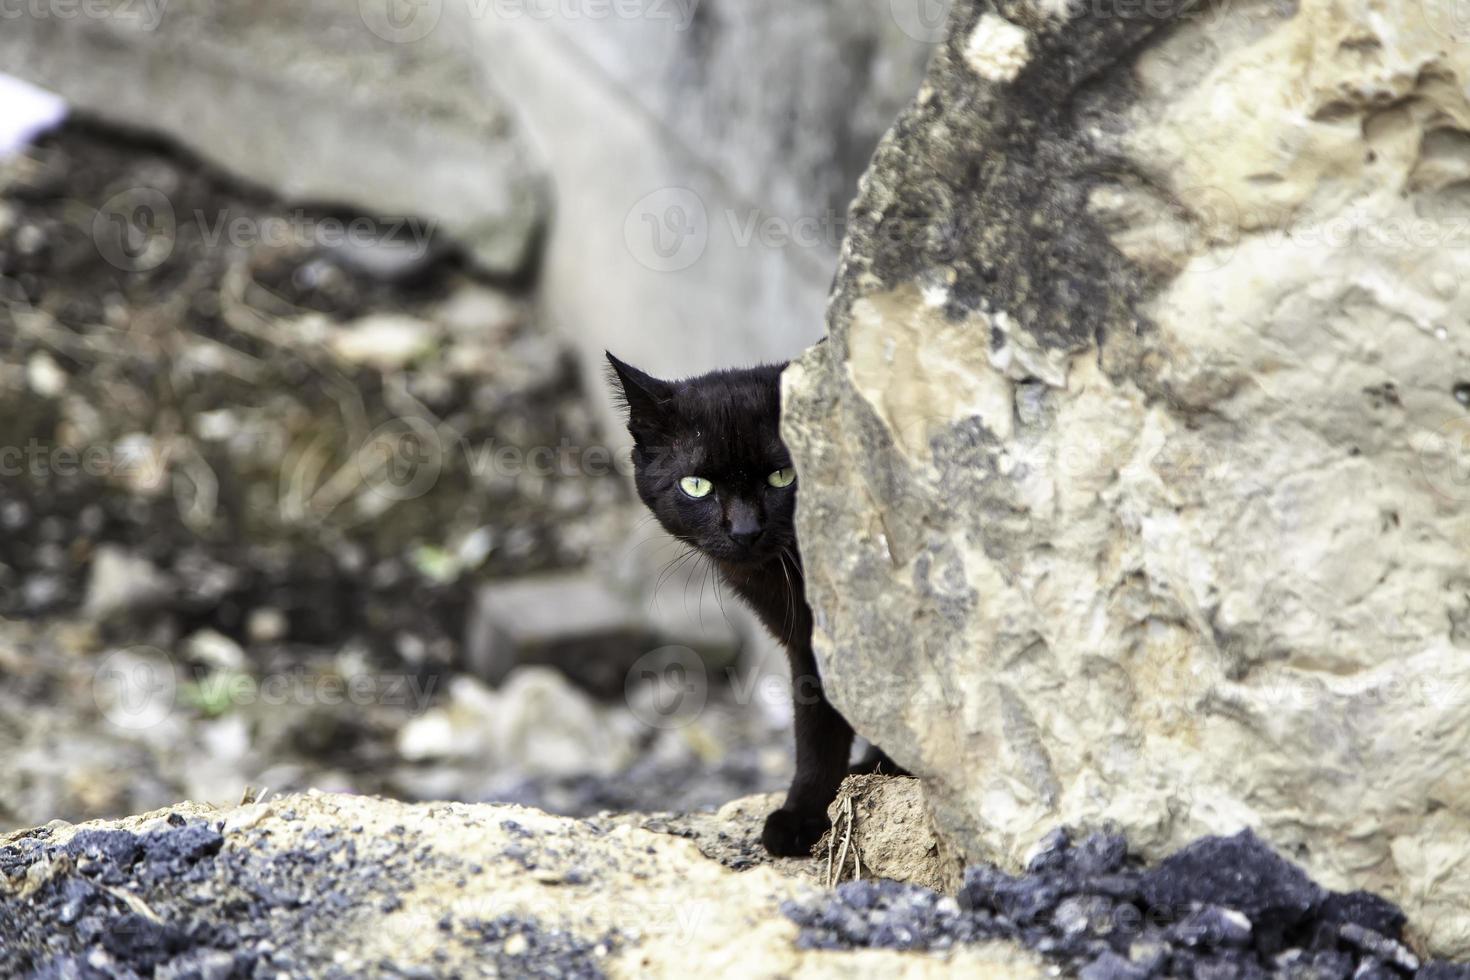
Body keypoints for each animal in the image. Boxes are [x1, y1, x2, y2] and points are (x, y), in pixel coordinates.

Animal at [602, 354, 899, 858]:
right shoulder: (809, 649)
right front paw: (805, 812)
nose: (745, 531)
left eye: (783, 476)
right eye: (696, 485)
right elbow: (816, 728)